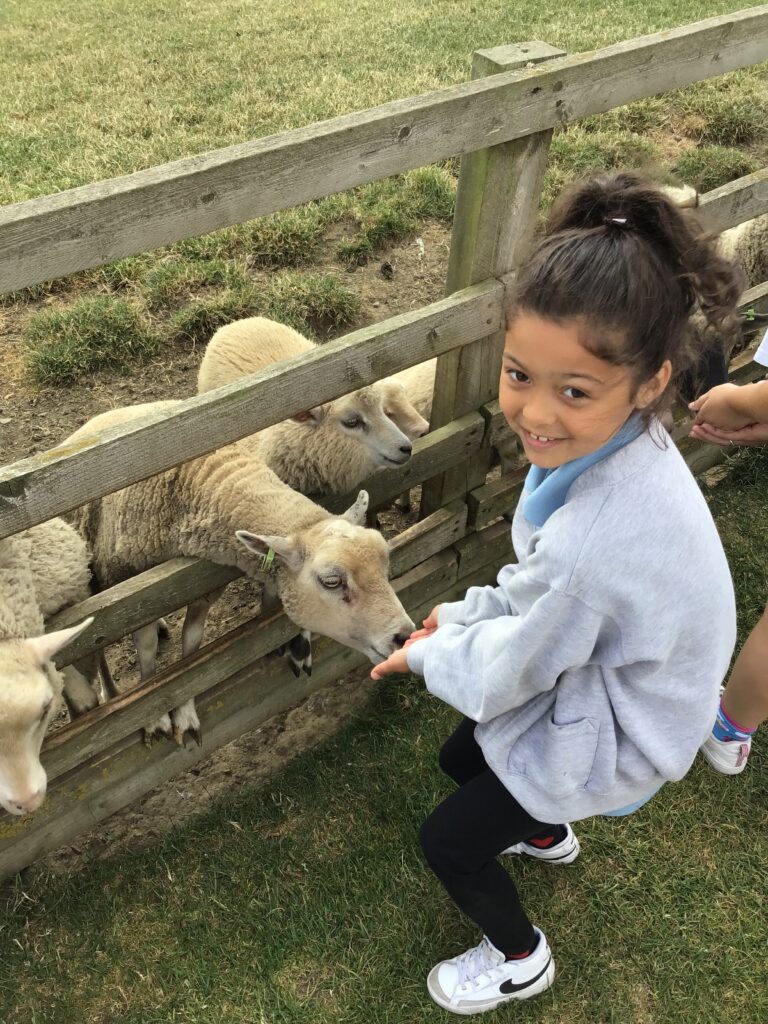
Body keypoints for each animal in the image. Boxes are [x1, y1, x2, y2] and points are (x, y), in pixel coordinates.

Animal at [63, 401, 415, 746]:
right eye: (331, 581)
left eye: (385, 563)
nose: (405, 635)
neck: (201, 478)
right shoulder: (132, 593)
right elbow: (147, 647)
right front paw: (151, 716)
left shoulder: (202, 587)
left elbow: (192, 645)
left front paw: (185, 710)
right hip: (96, 589)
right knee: (94, 645)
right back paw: (109, 693)